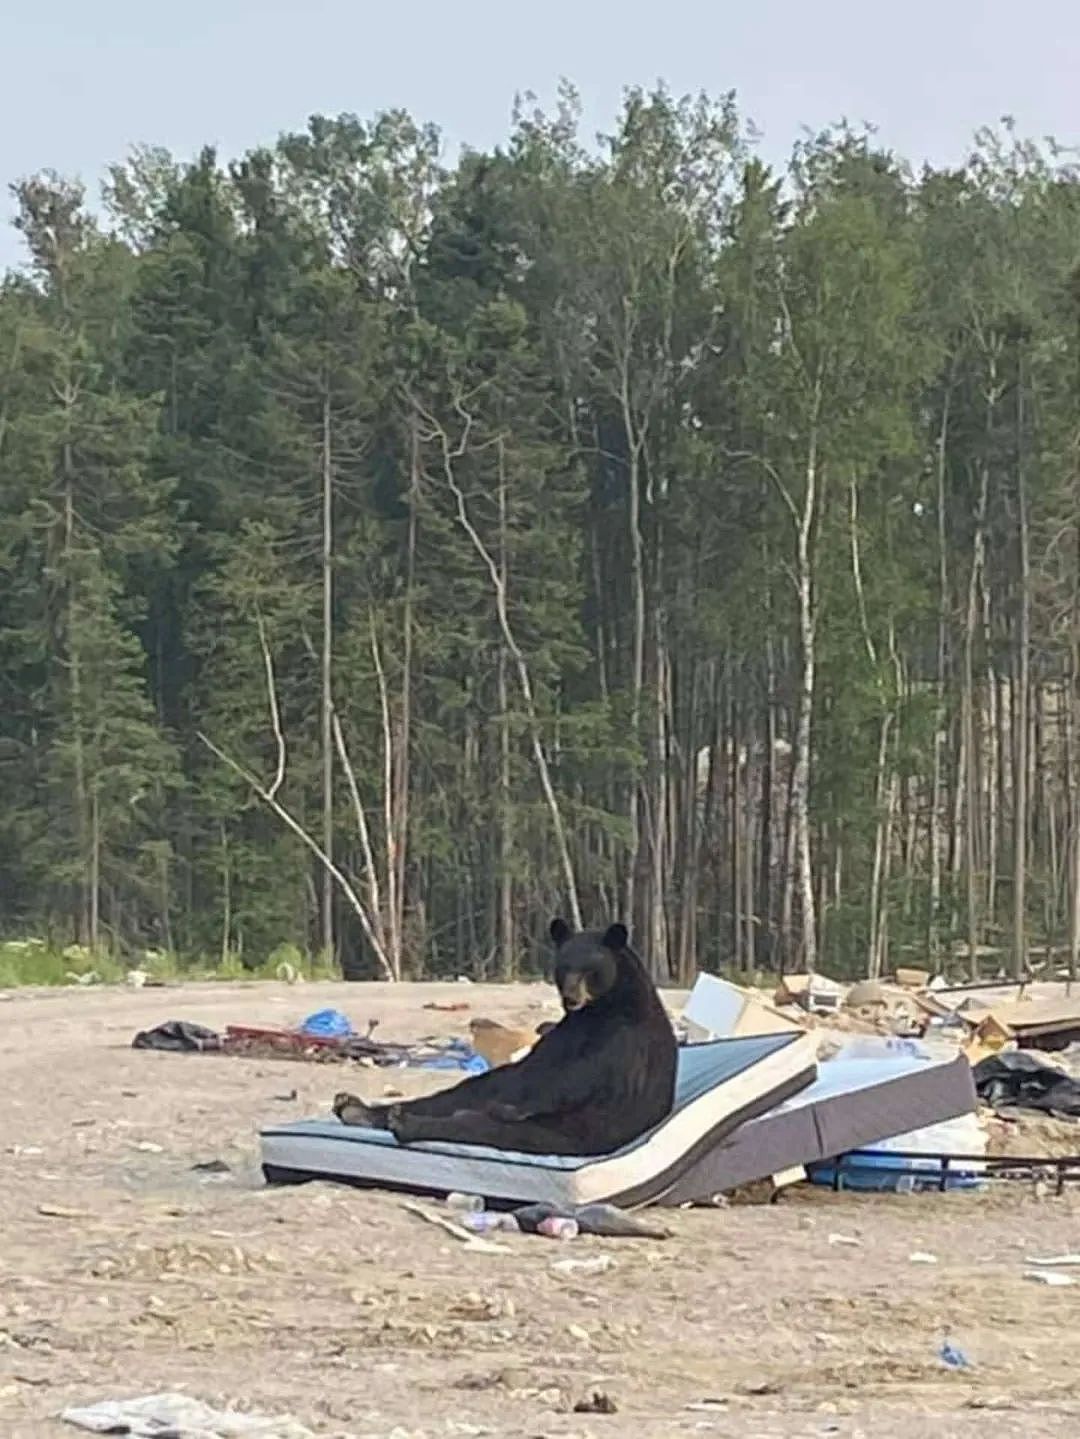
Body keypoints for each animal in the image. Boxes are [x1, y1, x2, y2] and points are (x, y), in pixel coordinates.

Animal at [333, 920, 678, 1156]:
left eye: (590, 970)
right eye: (564, 967)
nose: (570, 998)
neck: (601, 1008)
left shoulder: (624, 1038)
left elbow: (582, 1074)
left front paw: (509, 1109)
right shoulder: (566, 1033)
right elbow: (533, 1068)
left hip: (571, 1129)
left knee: (485, 1127)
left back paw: (408, 1123)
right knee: (454, 1097)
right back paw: (358, 1108)